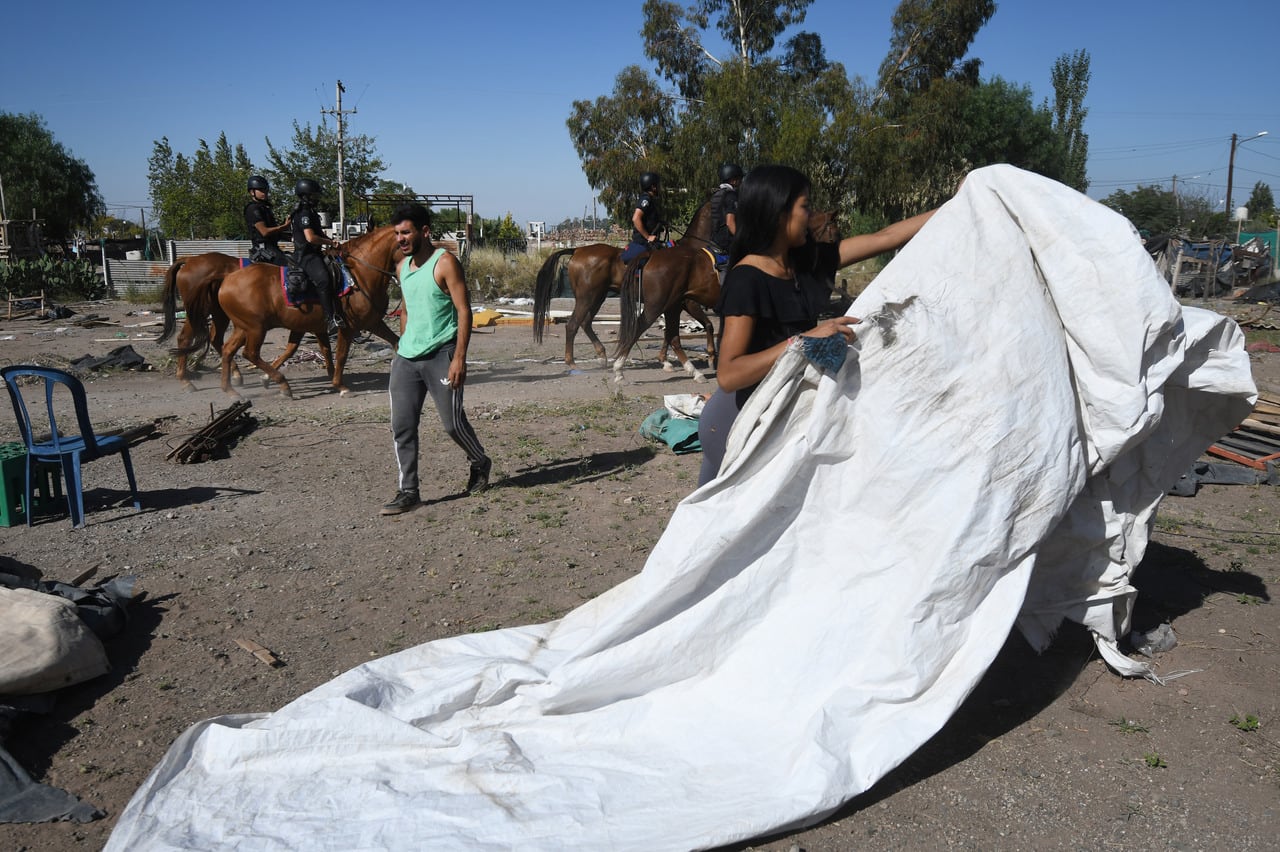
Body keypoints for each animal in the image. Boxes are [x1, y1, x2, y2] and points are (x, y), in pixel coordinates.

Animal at [170, 225, 399, 399]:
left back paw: (232, 388)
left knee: (225, 347)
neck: (358, 275)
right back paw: (281, 384)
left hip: (238, 325)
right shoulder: (347, 326)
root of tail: (226, 279)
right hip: (251, 327)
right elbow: (340, 354)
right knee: (245, 352)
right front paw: (339, 385)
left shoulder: (367, 322)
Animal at [524, 204, 716, 370]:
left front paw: (665, 359)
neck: (691, 255)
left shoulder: (674, 304)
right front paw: (709, 357)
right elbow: (706, 325)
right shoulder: (688, 302)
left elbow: (671, 333)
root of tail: (577, 250)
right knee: (572, 325)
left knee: (586, 323)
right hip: (587, 298)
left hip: (597, 297)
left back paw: (602, 355)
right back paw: (571, 362)